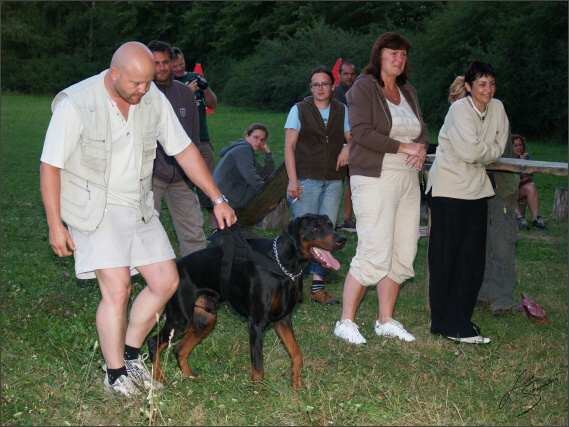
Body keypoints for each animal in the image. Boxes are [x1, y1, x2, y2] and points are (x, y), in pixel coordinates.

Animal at [146, 214, 344, 392]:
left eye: (330, 224)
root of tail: (176, 268)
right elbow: (258, 366)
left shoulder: (283, 318)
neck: (285, 266)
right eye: (316, 227)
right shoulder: (256, 323)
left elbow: (297, 353)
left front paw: (297, 384)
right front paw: (259, 393)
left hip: (205, 319)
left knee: (179, 349)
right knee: (154, 342)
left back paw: (192, 378)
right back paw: (160, 381)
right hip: (180, 320)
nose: (342, 239)